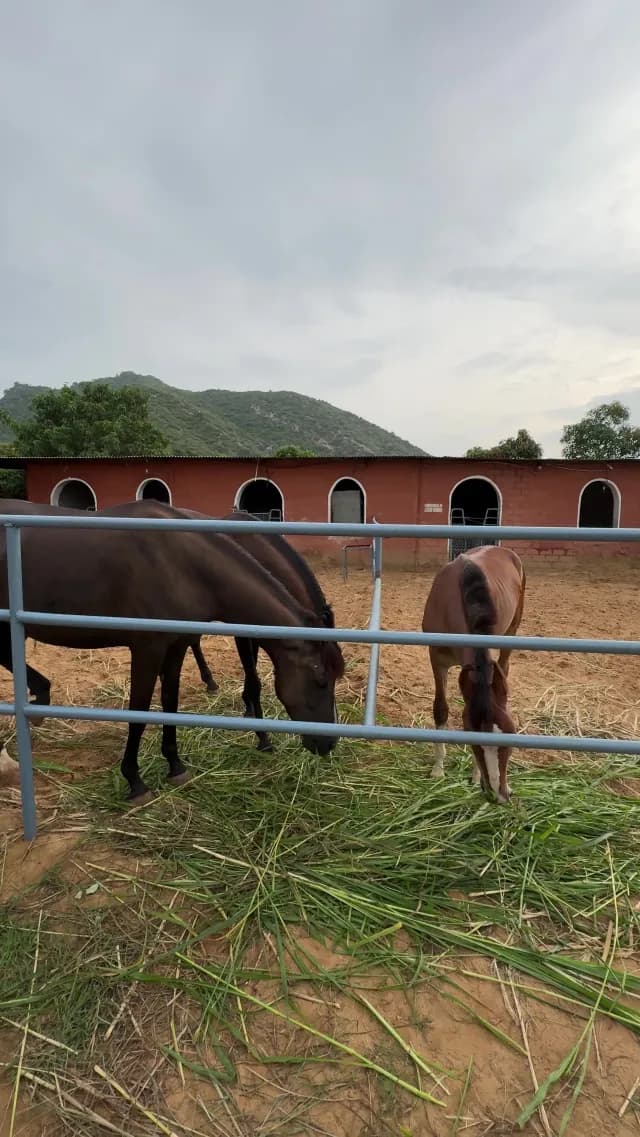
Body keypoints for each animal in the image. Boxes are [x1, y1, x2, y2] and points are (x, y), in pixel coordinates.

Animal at [0, 498, 345, 802]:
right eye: (320, 681)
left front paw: (176, 766)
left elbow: (170, 702)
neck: (176, 563)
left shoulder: (176, 644)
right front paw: (135, 781)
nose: (328, 743)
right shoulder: (147, 649)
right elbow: (139, 712)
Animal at [421, 545, 526, 803]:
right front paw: (438, 770)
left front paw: (476, 777)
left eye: (511, 739)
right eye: (474, 743)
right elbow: (441, 709)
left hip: (511, 631)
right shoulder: (437, 660)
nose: (499, 794)